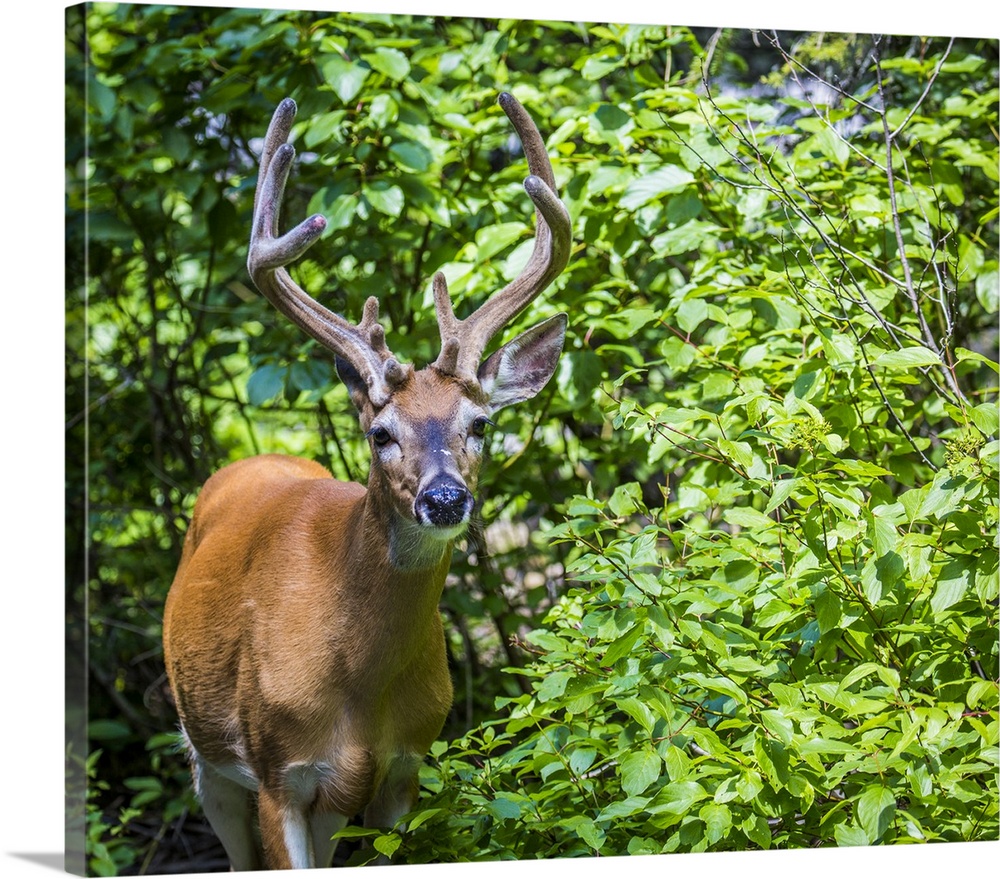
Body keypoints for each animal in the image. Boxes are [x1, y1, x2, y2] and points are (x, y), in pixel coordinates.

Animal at [162, 93, 572, 868]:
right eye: (382, 433)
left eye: (479, 423)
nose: (445, 497)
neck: (359, 687)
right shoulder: (278, 773)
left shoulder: (404, 768)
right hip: (206, 756)